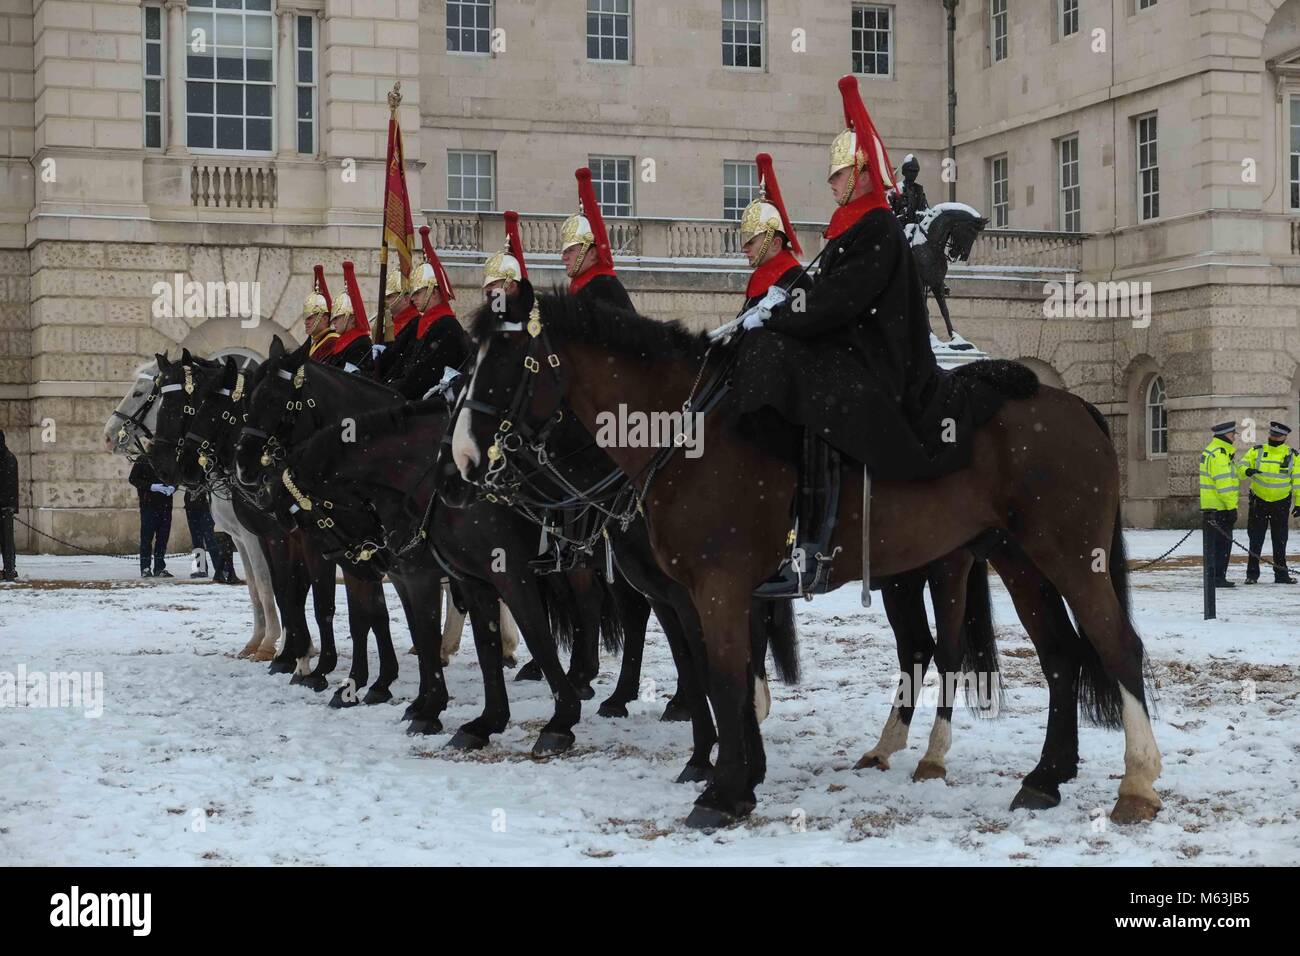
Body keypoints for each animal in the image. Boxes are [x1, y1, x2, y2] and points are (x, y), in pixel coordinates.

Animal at [449, 286, 1159, 832]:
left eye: (506, 360)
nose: (461, 460)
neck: (689, 432)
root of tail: (1073, 403)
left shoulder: (715, 589)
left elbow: (724, 679)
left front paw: (722, 790)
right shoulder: (711, 595)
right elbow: (726, 678)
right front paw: (740, 777)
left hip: (1066, 557)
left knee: (1115, 646)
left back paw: (1137, 785)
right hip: (1018, 561)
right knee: (1060, 656)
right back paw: (1044, 777)